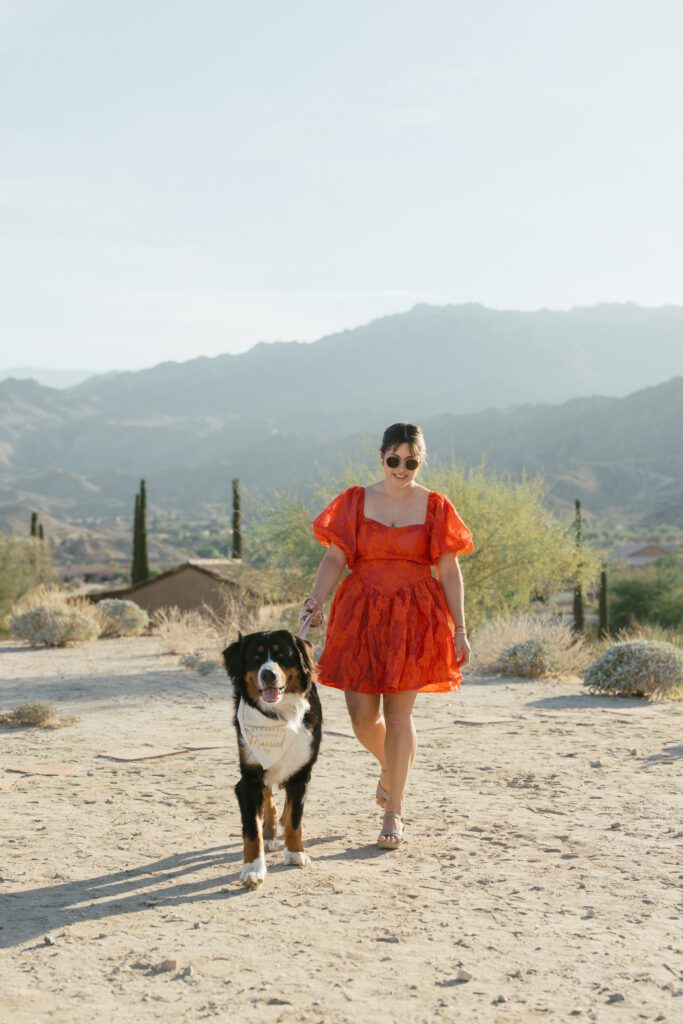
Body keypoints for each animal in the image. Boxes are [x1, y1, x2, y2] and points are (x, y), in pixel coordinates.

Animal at [222, 622, 323, 888]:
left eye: (282, 654)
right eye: (255, 658)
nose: (268, 674)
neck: (279, 715)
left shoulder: (301, 773)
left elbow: (295, 819)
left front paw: (295, 852)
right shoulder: (249, 778)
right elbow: (251, 830)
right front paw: (252, 868)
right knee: (267, 797)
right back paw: (269, 833)